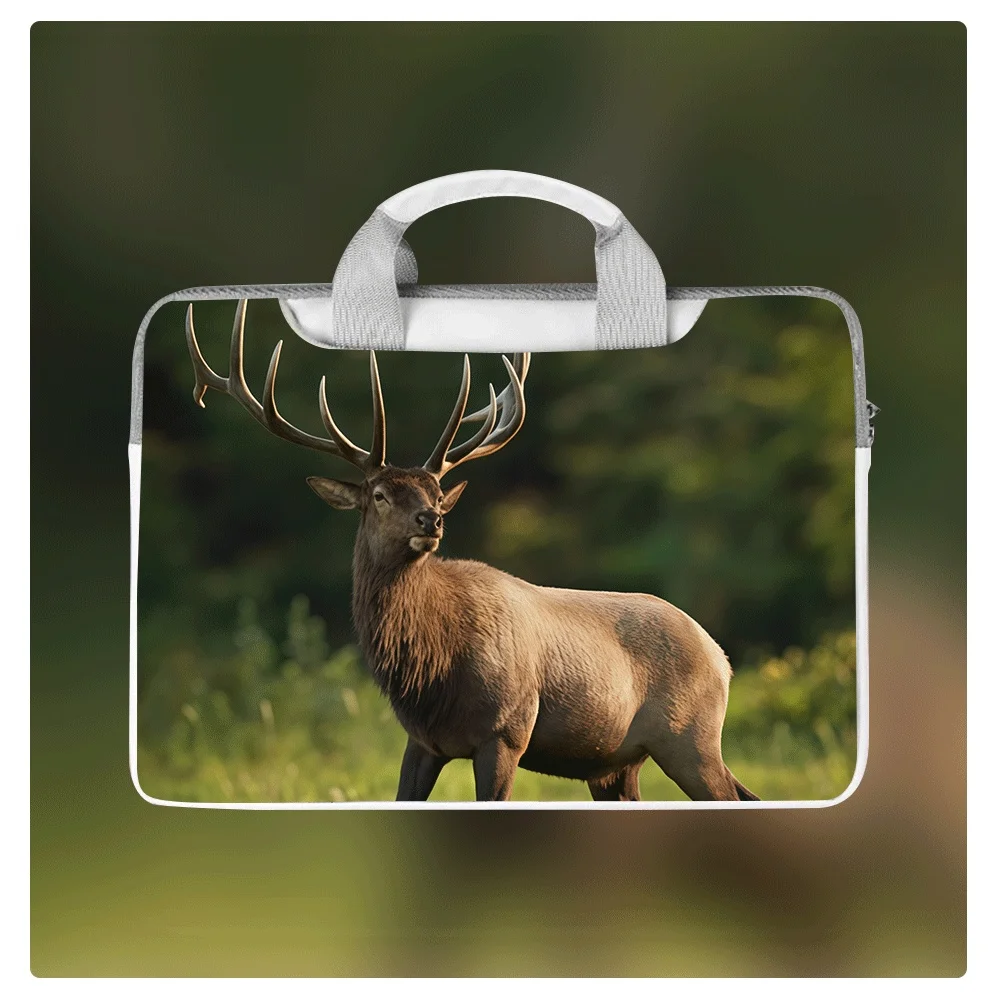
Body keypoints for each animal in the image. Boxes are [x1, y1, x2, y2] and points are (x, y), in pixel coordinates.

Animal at [184, 300, 759, 803]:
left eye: (438, 493)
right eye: (379, 494)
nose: (432, 520)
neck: (432, 672)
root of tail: (721, 656)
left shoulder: (506, 731)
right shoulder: (421, 742)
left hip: (689, 736)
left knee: (733, 794)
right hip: (616, 763)